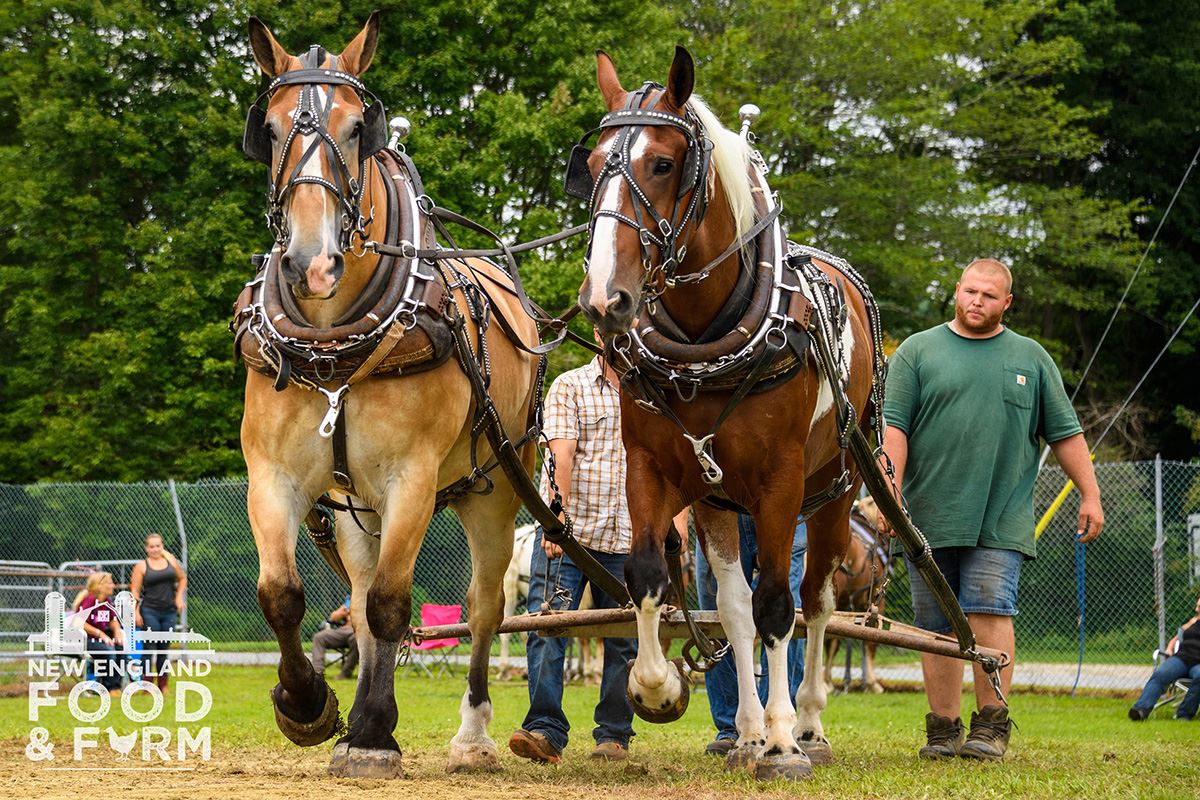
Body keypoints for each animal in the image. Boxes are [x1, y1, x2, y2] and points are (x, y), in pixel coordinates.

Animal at [232, 14, 540, 777]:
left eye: (353, 129)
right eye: (270, 129)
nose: (311, 264)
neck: (332, 345)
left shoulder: (413, 478)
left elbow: (394, 606)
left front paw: (373, 731)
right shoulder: (274, 475)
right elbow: (284, 595)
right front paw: (310, 707)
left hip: (494, 491)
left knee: (483, 608)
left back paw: (472, 733)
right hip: (354, 505)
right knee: (360, 592)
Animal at [571, 47, 883, 777]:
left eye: (662, 164)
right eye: (592, 164)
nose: (605, 298)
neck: (706, 337)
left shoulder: (780, 482)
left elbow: (779, 605)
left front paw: (784, 738)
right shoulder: (652, 466)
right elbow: (650, 574)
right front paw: (657, 687)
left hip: (836, 489)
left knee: (817, 603)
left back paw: (808, 723)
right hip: (718, 500)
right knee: (737, 610)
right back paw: (744, 729)